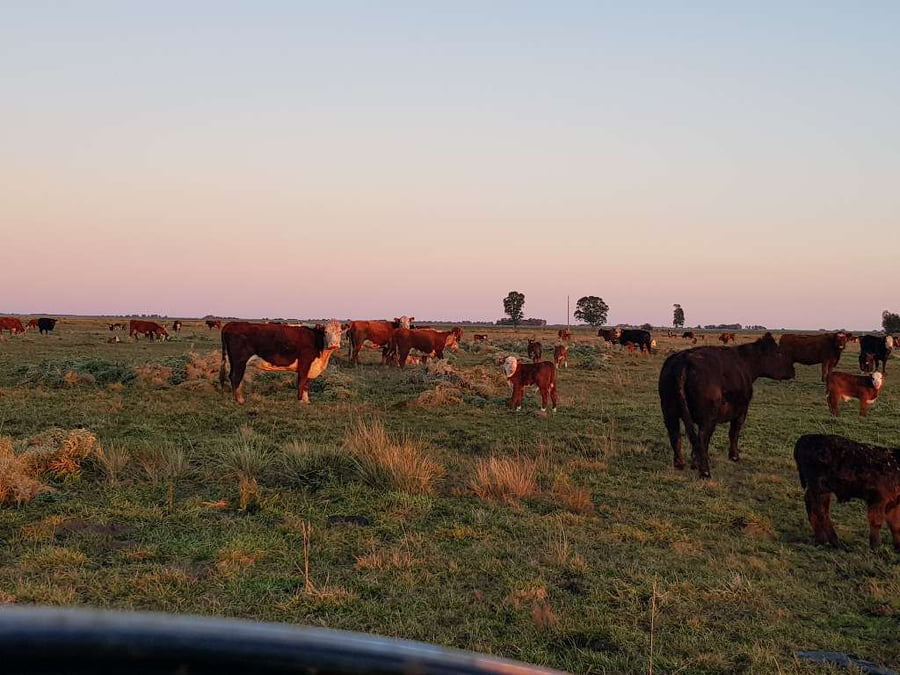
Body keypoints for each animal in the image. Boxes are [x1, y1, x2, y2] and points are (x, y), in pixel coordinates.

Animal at [658, 332, 795, 478]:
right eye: (778, 352)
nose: (793, 370)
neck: (745, 363)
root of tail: (685, 360)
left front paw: (695, 462)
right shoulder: (742, 410)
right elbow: (734, 432)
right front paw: (734, 456)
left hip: (669, 412)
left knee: (676, 435)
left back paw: (680, 464)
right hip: (708, 417)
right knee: (702, 438)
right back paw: (705, 471)